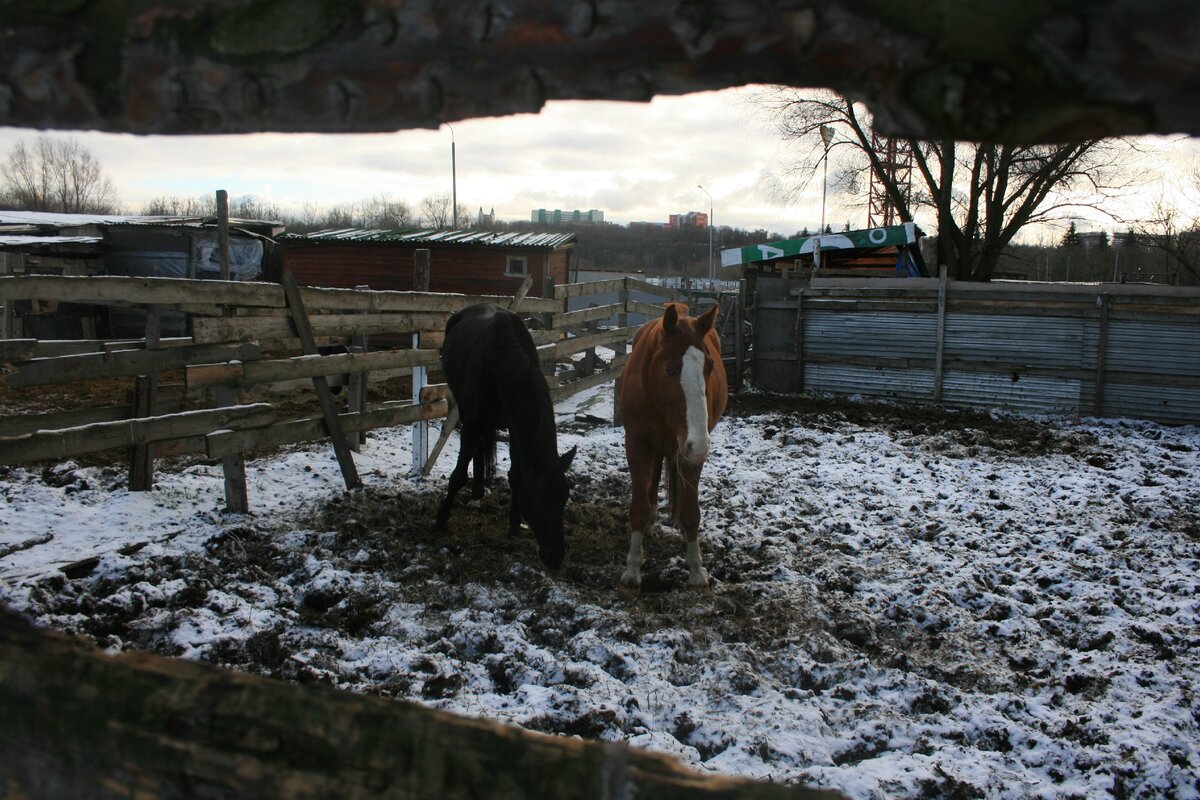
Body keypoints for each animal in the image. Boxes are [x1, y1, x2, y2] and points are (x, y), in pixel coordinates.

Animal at [436, 302, 576, 568]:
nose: (555, 557)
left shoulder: (515, 426)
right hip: (464, 407)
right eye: (538, 497)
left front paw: (513, 526)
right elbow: (458, 474)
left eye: (564, 497)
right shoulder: (473, 421)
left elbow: (517, 476)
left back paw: (479, 491)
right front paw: (441, 519)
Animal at [624, 303, 724, 592]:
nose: (700, 444)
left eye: (709, 366)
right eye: (670, 369)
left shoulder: (689, 455)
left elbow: (691, 512)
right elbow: (638, 507)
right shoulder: (636, 445)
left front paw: (696, 571)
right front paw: (632, 569)